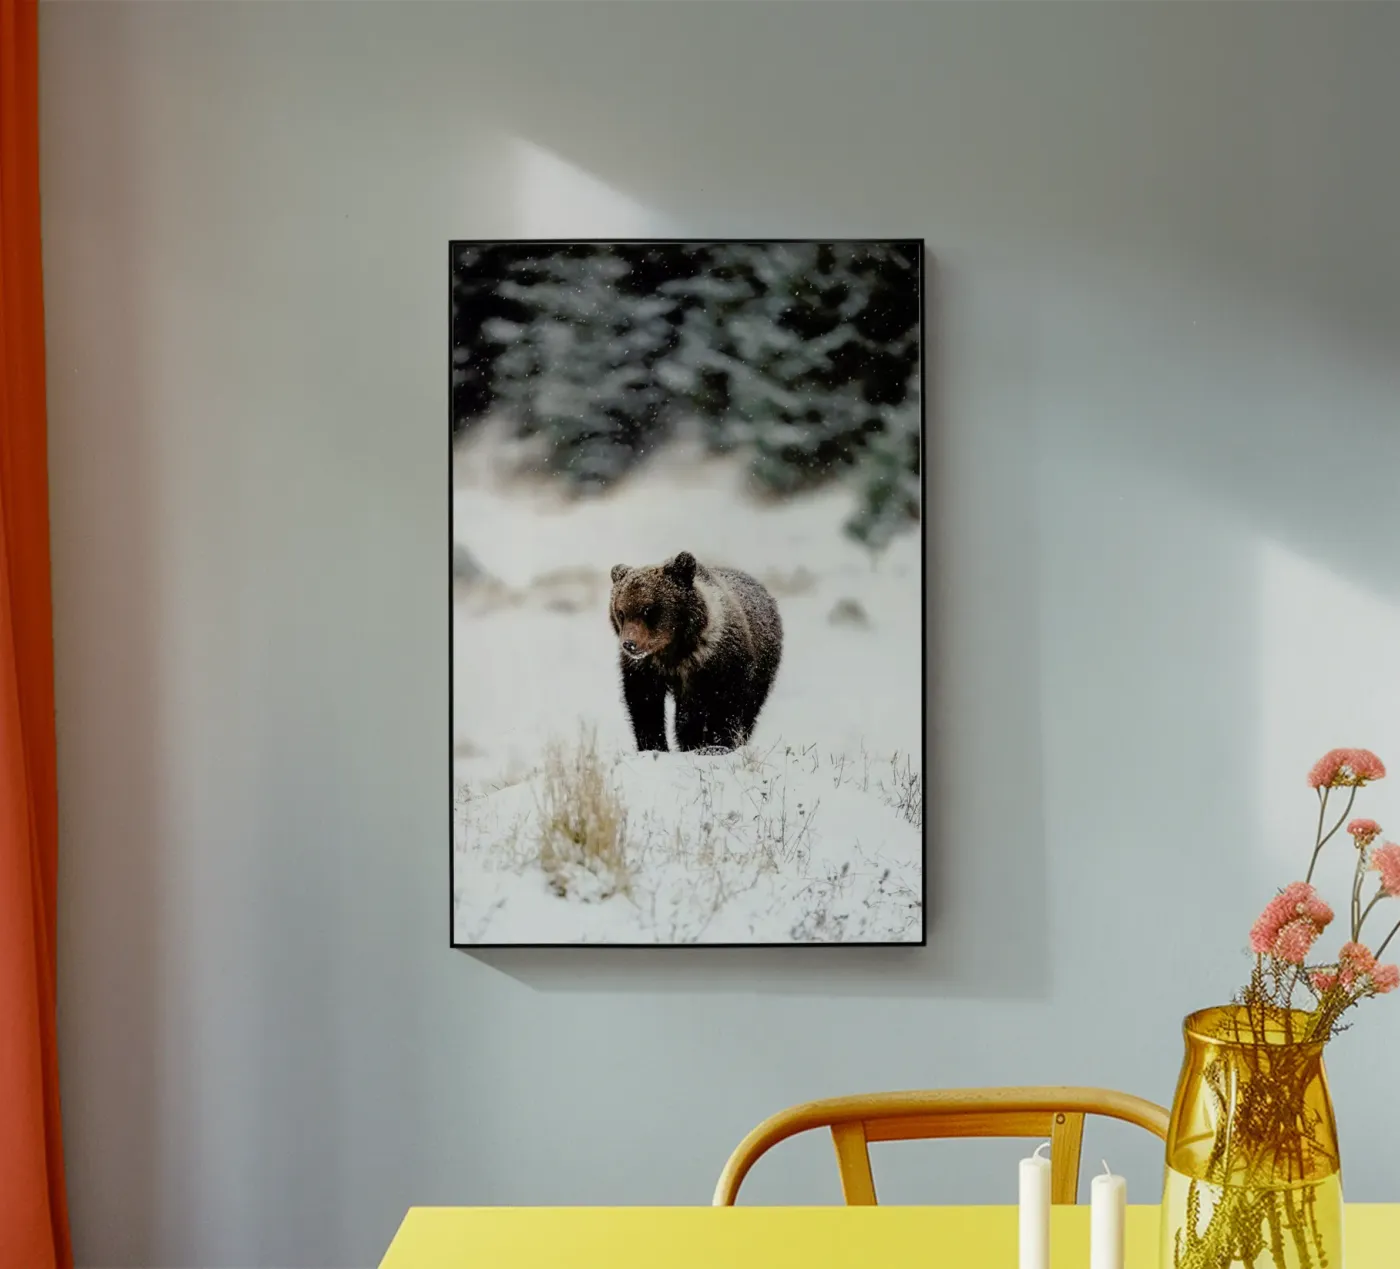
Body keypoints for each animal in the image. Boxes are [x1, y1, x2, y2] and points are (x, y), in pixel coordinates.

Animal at [608, 551, 782, 754]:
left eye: (648, 609)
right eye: (621, 612)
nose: (629, 644)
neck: (674, 653)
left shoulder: (719, 664)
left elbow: (724, 706)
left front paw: (717, 745)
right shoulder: (645, 669)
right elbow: (645, 706)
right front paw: (654, 746)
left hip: (763, 668)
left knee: (750, 708)